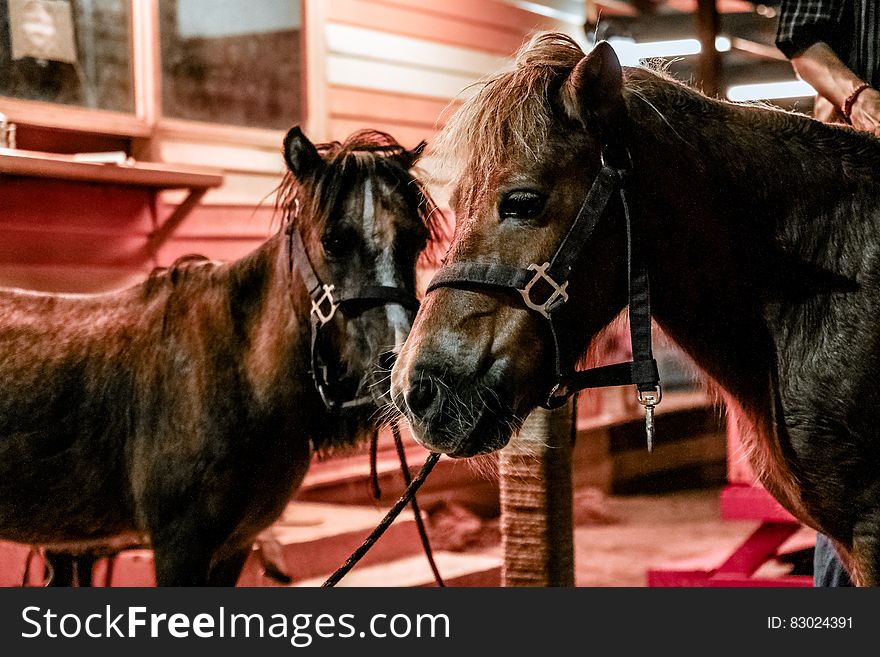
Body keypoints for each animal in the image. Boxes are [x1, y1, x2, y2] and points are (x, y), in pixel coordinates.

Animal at [0, 127, 440, 584]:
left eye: (417, 240)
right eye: (333, 241)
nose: (401, 369)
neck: (235, 377)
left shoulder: (235, 545)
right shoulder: (180, 547)